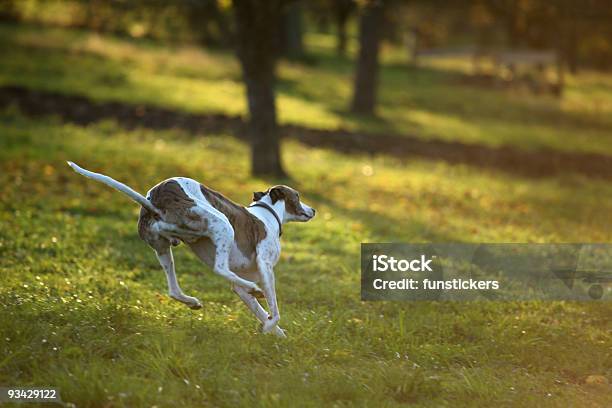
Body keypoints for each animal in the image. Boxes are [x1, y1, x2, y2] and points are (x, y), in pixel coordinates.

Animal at [67, 161, 316, 336]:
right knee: (219, 268)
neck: (266, 213)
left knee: (173, 289)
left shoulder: (239, 286)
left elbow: (260, 310)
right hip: (222, 225)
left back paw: (192, 301)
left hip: (163, 249)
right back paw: (254, 289)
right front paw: (270, 326)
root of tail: (155, 202)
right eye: (297, 196)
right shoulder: (266, 267)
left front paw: (276, 333)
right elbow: (274, 308)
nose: (313, 210)